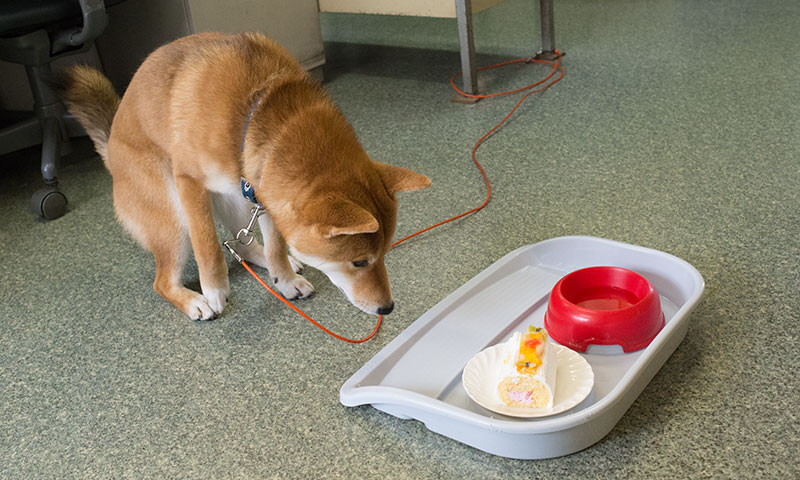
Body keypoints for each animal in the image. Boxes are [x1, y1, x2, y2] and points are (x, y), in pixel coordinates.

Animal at [59, 32, 432, 318]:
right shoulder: (190, 182)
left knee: (248, 246)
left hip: (236, 198)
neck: (257, 111)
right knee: (164, 281)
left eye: (384, 255)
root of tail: (110, 151)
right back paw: (193, 301)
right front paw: (214, 289)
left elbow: (276, 245)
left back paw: (285, 264)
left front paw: (284, 277)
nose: (388, 309)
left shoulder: (263, 192)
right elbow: (208, 246)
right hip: (175, 218)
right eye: (358, 262)